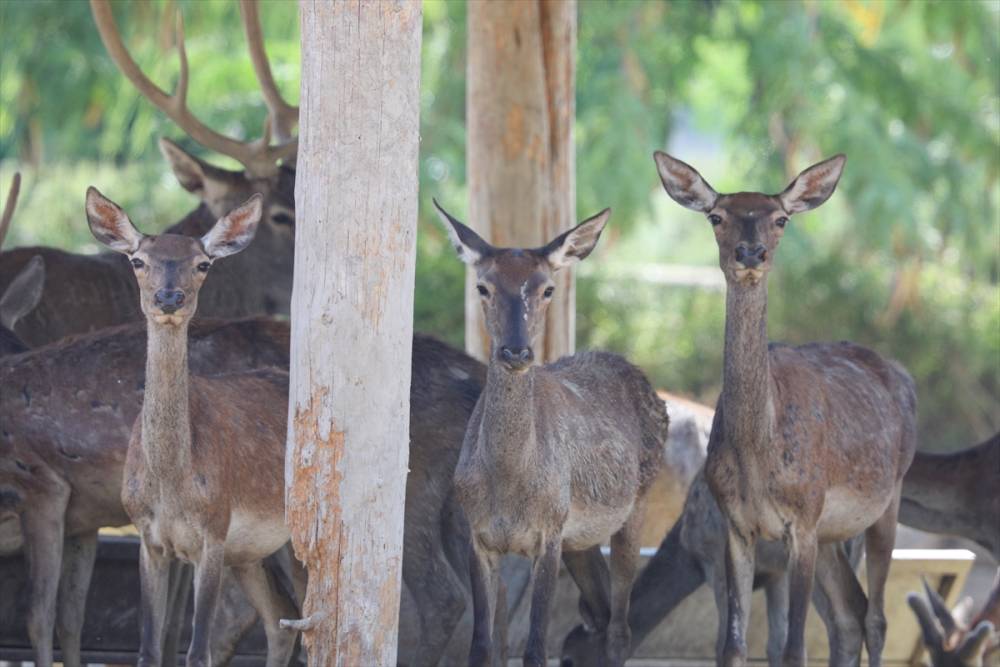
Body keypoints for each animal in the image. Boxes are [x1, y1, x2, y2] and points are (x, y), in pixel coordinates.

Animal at [434, 202, 668, 667]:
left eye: (547, 290)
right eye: (483, 287)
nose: (516, 351)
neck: (508, 485)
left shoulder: (549, 534)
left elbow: (536, 650)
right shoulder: (479, 538)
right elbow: (481, 647)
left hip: (637, 503)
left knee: (620, 628)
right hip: (580, 538)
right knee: (599, 612)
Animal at [652, 153, 916, 667]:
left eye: (780, 219)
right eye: (716, 217)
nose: (750, 253)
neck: (760, 459)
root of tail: (901, 373)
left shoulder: (804, 521)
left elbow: (794, 648)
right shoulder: (736, 525)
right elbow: (732, 646)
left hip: (888, 500)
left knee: (876, 617)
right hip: (835, 534)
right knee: (851, 612)